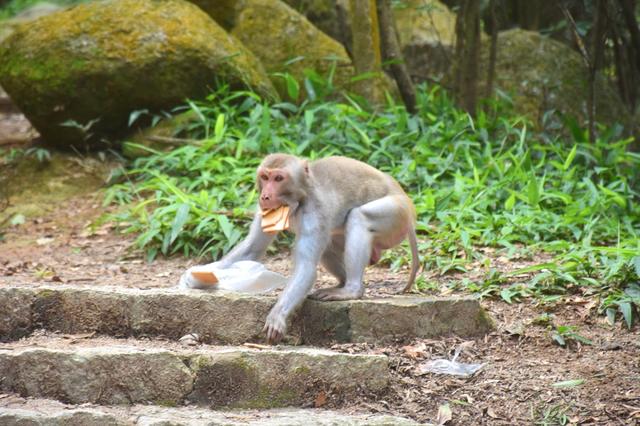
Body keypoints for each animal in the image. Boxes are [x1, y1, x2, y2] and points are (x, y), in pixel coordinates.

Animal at [214, 153, 420, 342]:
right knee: (329, 245)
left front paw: (278, 315)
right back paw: (342, 283)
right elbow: (252, 248)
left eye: (278, 178)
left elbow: (305, 266)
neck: (300, 198)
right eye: (265, 177)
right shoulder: (267, 211)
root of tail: (408, 206)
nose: (265, 196)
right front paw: (207, 273)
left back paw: (351, 290)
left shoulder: (315, 211)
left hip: (396, 214)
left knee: (358, 217)